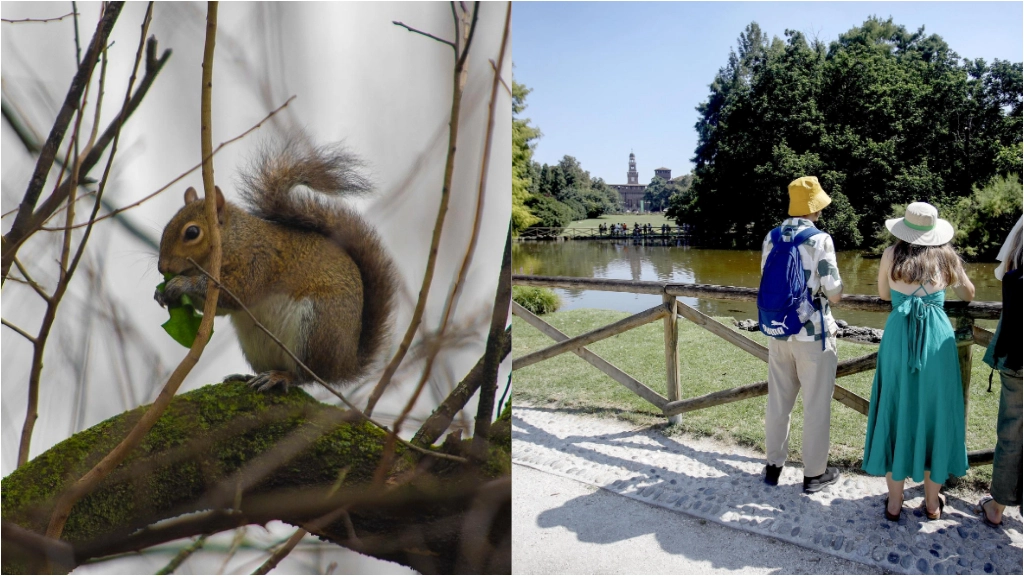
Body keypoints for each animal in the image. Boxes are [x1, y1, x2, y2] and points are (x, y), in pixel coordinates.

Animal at [153, 139, 397, 389]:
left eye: (192, 232)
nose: (163, 268)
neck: (235, 240)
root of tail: (344, 365)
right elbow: (219, 309)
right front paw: (162, 293)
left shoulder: (259, 261)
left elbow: (237, 292)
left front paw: (182, 284)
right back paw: (250, 376)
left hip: (315, 327)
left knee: (305, 376)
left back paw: (280, 377)